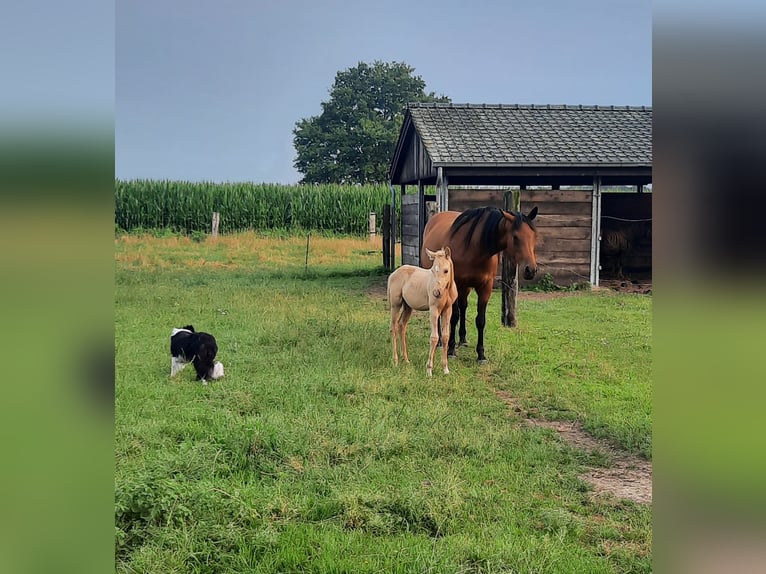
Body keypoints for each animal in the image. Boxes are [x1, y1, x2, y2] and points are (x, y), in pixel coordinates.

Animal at [388, 248, 460, 378]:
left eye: (446, 270)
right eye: (432, 270)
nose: (436, 292)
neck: (446, 291)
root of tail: (393, 274)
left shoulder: (447, 310)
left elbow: (445, 336)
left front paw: (446, 369)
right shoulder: (434, 310)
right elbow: (434, 338)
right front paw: (429, 370)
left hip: (408, 307)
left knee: (402, 326)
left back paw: (406, 360)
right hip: (395, 305)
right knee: (393, 328)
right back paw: (395, 361)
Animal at [424, 207, 544, 364]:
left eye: (534, 236)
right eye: (515, 237)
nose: (530, 270)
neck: (473, 248)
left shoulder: (485, 288)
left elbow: (480, 320)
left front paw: (481, 354)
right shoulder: (455, 285)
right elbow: (454, 317)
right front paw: (451, 350)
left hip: (466, 288)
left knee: (463, 306)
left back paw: (462, 339)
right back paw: (439, 342)